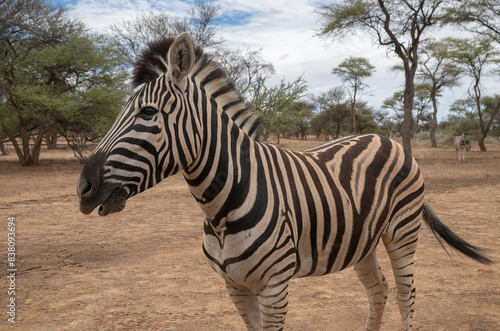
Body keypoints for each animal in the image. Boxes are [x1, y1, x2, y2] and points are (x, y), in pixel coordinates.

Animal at [78, 34, 492, 331]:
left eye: (148, 113)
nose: (83, 188)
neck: (220, 209)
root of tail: (384, 137)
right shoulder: (235, 288)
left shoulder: (274, 288)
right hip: (362, 240)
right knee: (380, 291)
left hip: (402, 231)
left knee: (407, 294)